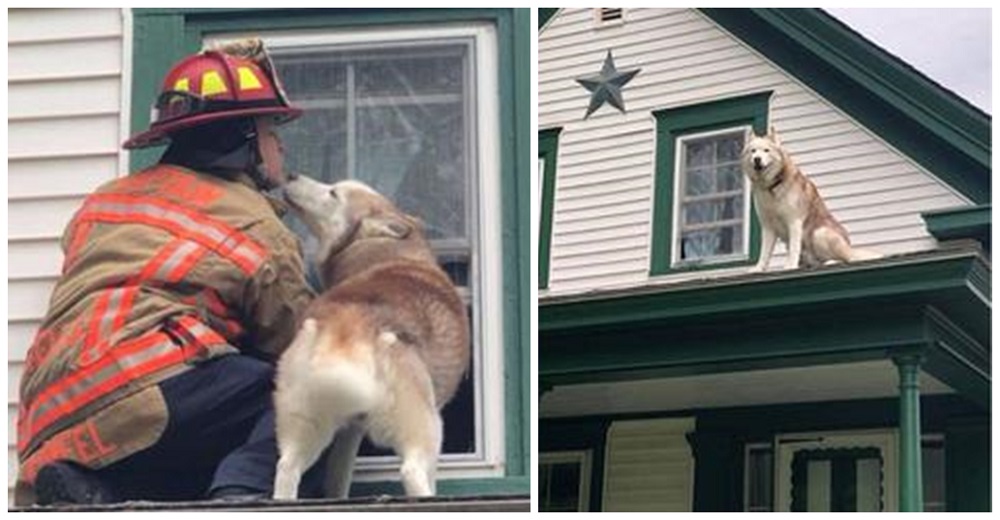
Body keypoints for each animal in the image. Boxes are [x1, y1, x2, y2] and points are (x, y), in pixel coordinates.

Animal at [272, 175, 470, 500]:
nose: (290, 176)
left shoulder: (350, 432)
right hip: (426, 427)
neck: (383, 251)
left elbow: (337, 482)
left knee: (286, 468)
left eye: (332, 192)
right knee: (412, 471)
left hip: (304, 424)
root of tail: (348, 323)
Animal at [740, 128, 880, 272]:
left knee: (848, 259)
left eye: (766, 150)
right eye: (753, 151)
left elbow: (794, 248)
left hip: (820, 233)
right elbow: (764, 253)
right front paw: (758, 269)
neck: (772, 187)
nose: (757, 159)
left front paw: (790, 266)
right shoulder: (768, 227)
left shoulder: (794, 222)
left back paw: (831, 262)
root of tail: (849, 245)